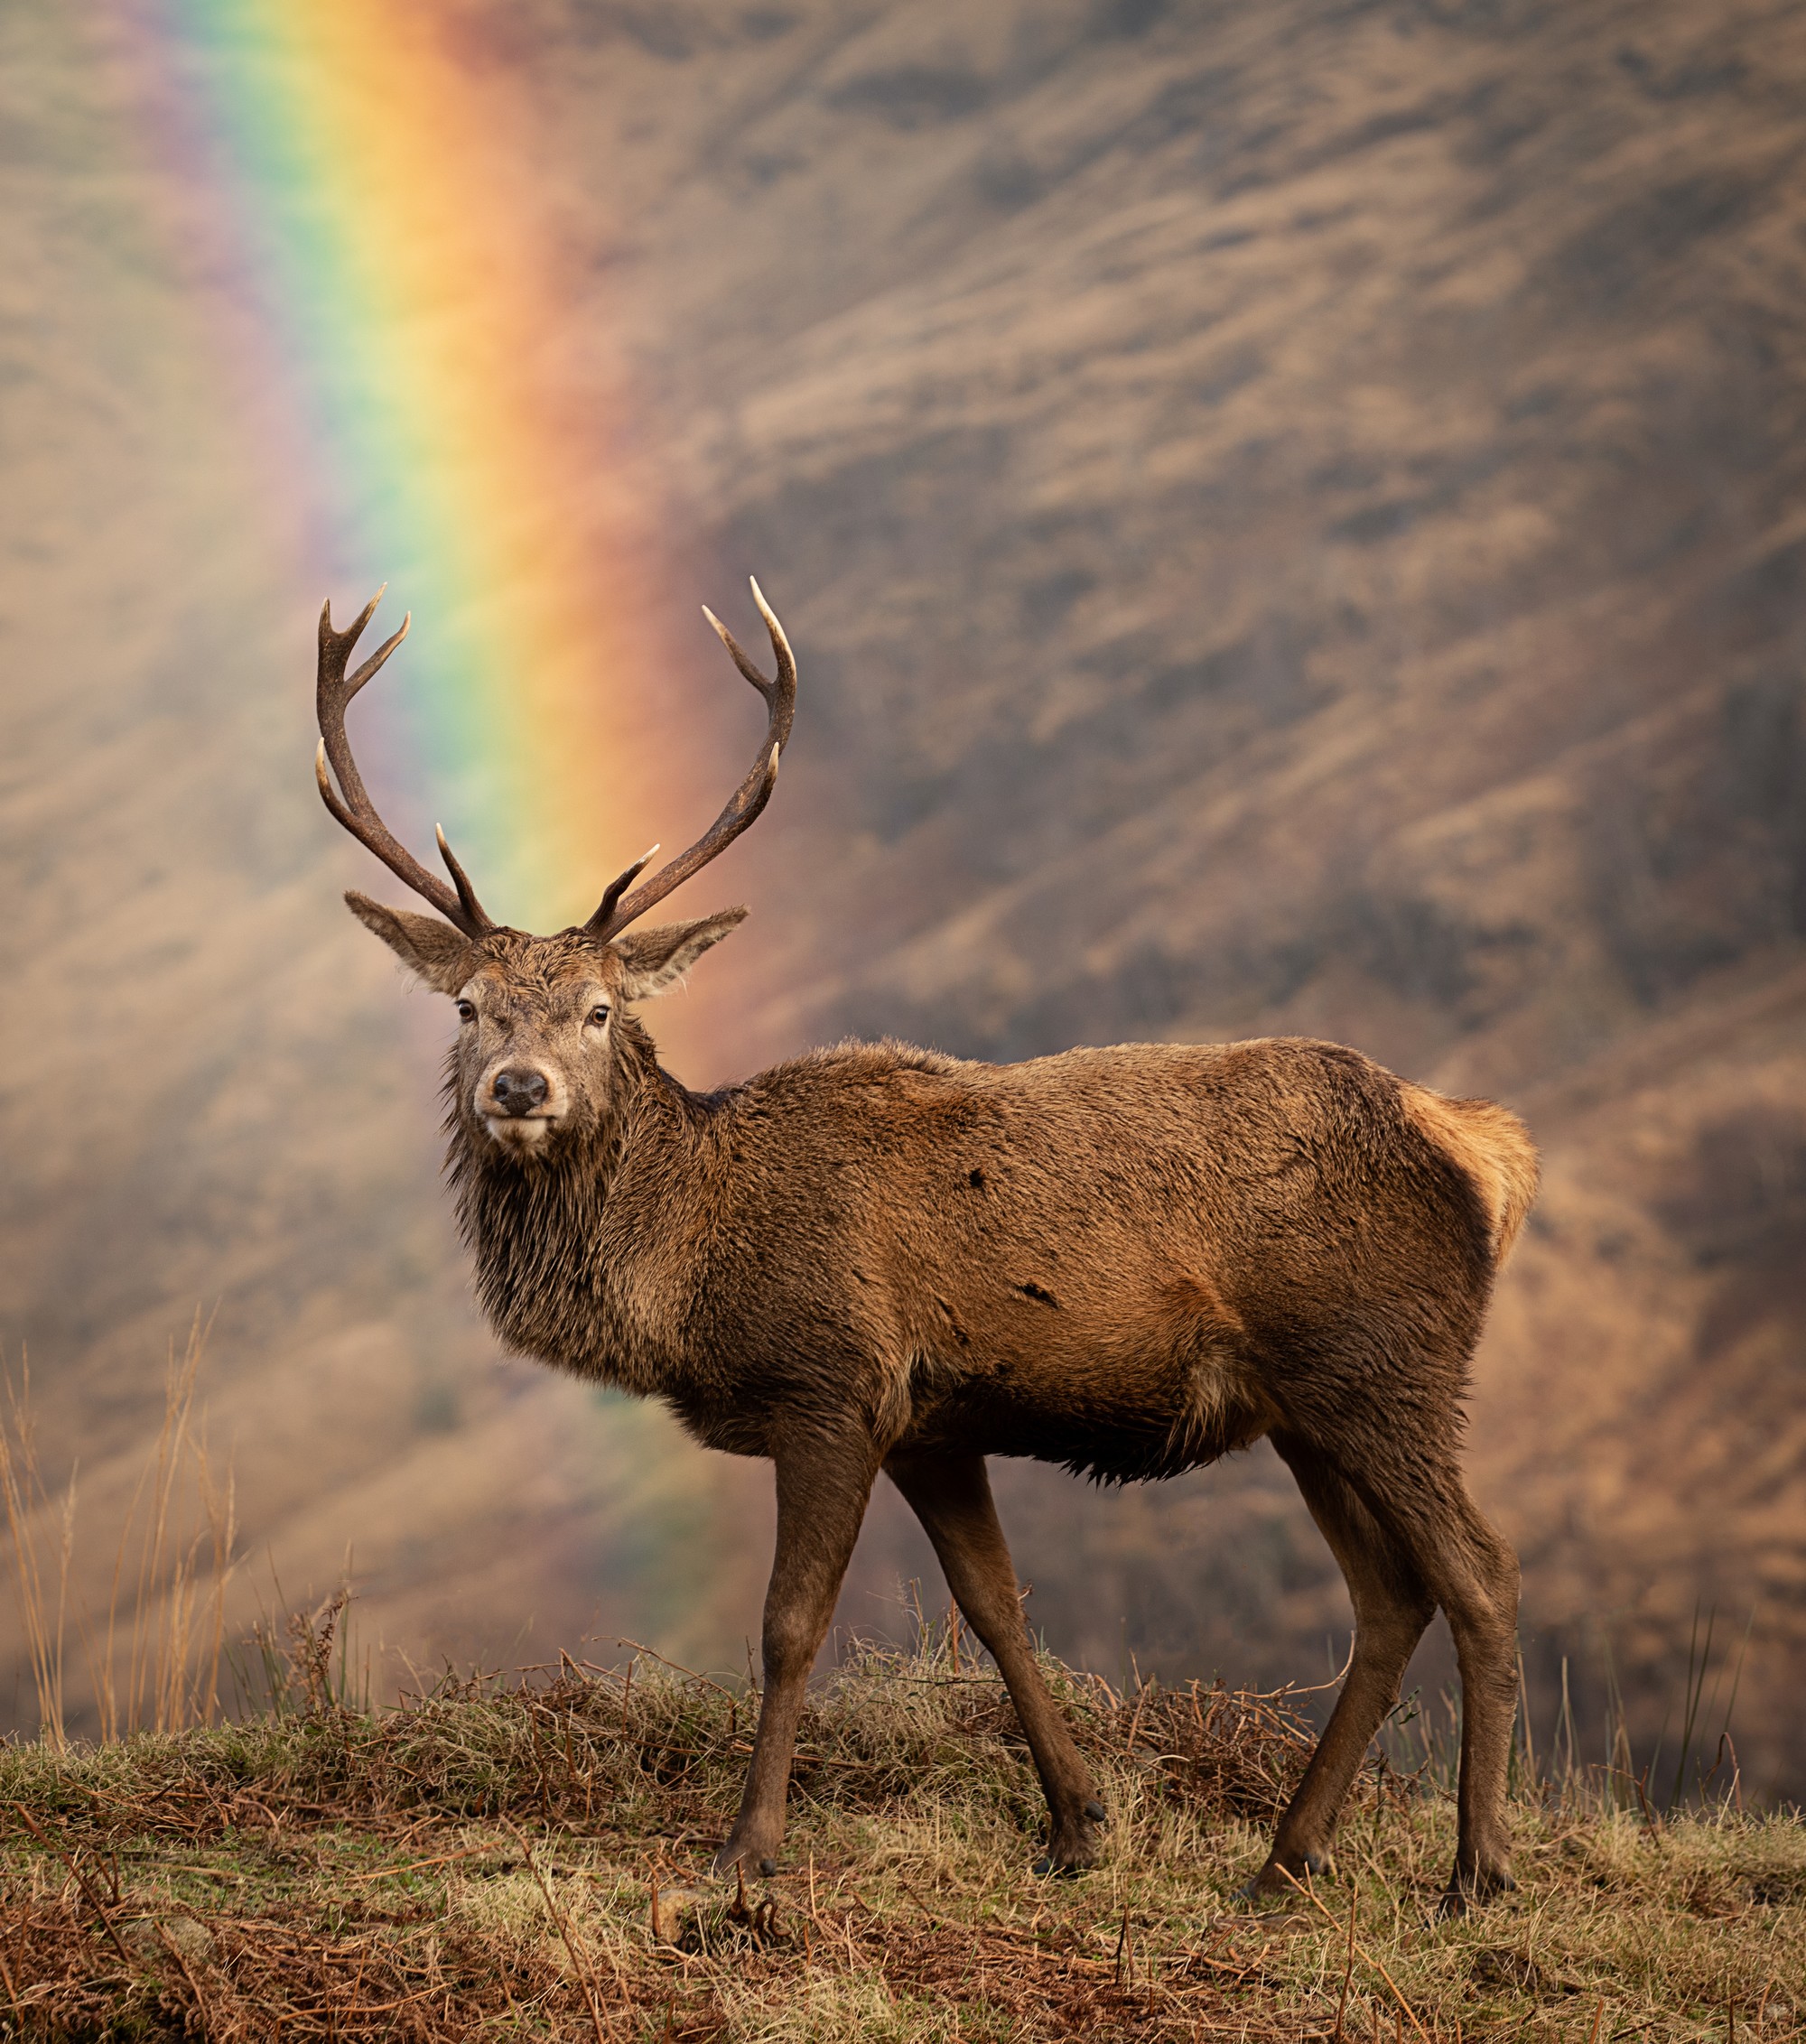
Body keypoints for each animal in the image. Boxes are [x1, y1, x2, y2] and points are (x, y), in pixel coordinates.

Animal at [314, 580, 1538, 1913]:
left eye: (601, 1009)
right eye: (468, 1008)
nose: (520, 1088)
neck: (689, 1269)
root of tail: (1479, 1144)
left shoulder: (830, 1384)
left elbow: (789, 1624)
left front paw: (742, 1855)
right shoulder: (935, 1425)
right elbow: (994, 1605)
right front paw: (1076, 1824)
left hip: (1385, 1364)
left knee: (1480, 1573)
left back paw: (1474, 1867)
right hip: (1306, 1403)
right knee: (1389, 1596)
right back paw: (1283, 1856)